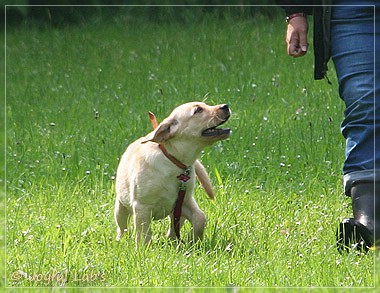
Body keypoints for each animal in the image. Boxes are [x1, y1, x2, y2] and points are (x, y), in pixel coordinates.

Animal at [114, 101, 230, 243]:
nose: (225, 106)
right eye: (198, 110)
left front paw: (194, 241)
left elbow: (200, 218)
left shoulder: (184, 201)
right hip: (120, 207)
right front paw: (143, 248)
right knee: (122, 226)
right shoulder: (142, 207)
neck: (173, 160)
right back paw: (120, 240)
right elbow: (144, 234)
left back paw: (173, 241)